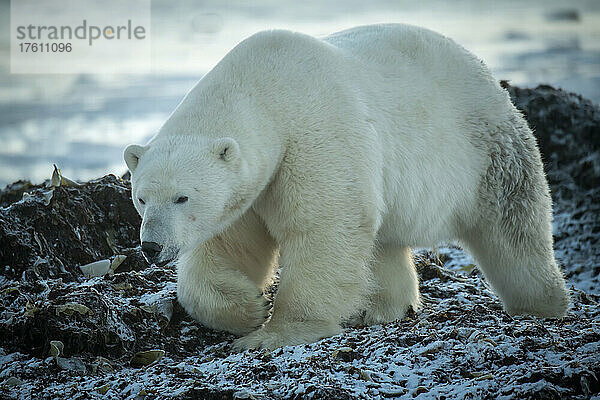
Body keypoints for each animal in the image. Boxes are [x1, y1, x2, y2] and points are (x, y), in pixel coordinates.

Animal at [124, 23, 568, 348]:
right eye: (142, 199)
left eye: (182, 197)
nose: (151, 246)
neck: (263, 87)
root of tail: (485, 73)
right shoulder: (252, 187)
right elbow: (228, 245)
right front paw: (248, 307)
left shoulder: (314, 134)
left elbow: (325, 227)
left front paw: (273, 333)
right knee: (383, 242)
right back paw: (382, 308)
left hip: (486, 149)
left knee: (513, 229)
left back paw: (543, 304)